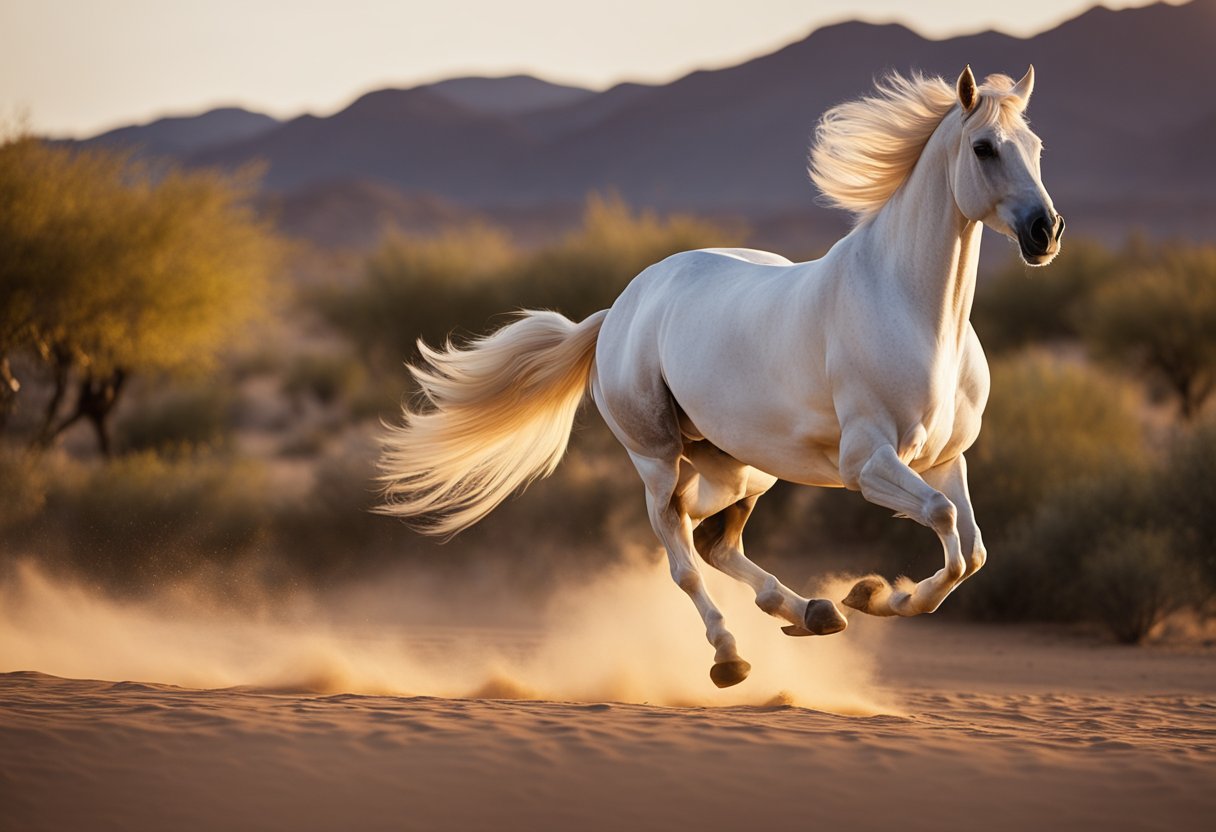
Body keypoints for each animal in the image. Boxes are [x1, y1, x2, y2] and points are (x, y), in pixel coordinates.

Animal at [379, 66, 1065, 690]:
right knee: (680, 549)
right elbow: (945, 521)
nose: (1046, 231)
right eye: (984, 147)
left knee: (712, 539)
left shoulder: (946, 460)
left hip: (742, 465)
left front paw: (872, 595)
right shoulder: (867, 463)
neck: (911, 310)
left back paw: (814, 612)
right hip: (658, 458)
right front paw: (874, 594)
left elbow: (970, 550)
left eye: (1036, 146)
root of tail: (618, 310)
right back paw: (730, 655)